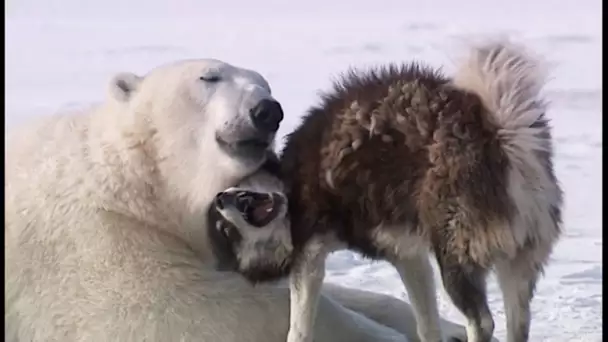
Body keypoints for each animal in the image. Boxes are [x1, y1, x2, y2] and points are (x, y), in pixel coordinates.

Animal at [4, 59, 468, 342]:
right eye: (209, 77)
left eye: (265, 84)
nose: (268, 111)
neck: (129, 180)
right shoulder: (92, 246)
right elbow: (195, 311)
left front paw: (445, 324)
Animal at [213, 38, 560, 342]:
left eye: (226, 231)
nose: (219, 199)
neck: (291, 181)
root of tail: (498, 138)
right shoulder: (408, 255)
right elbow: (427, 323)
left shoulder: (309, 251)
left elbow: (299, 325)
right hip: (517, 260)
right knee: (518, 320)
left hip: (457, 251)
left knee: (482, 321)